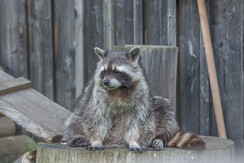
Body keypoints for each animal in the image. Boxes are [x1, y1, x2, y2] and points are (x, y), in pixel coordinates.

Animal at [62, 45, 205, 152]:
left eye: (117, 72)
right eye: (104, 72)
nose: (105, 82)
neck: (118, 89)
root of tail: (113, 142)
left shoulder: (141, 98)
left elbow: (138, 121)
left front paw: (134, 141)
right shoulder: (97, 98)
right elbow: (96, 118)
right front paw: (96, 140)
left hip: (155, 104)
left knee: (164, 110)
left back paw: (160, 138)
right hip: (80, 110)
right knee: (74, 120)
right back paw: (81, 138)